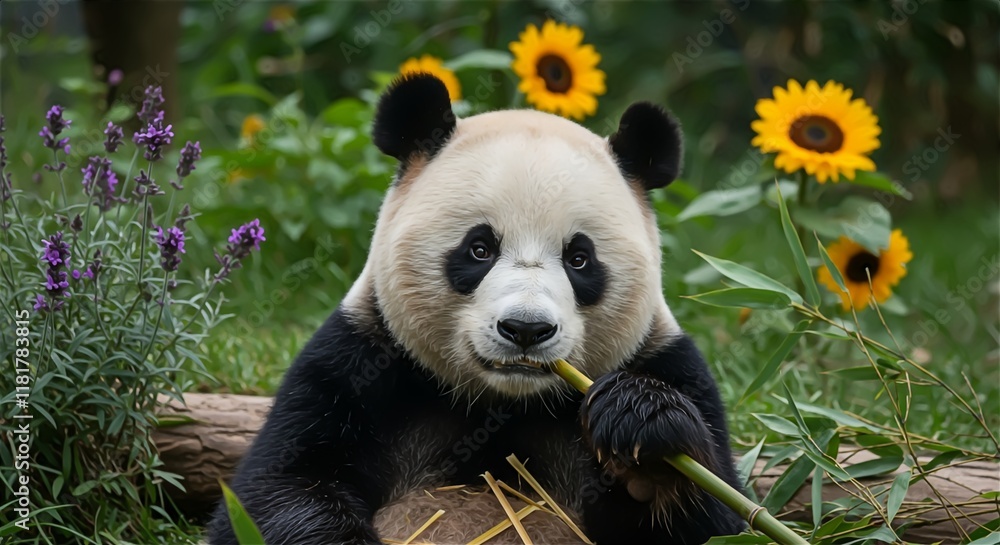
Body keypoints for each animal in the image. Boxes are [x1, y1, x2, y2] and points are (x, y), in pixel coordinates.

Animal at [208, 73, 746, 545]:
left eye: (579, 258)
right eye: (479, 249)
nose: (525, 329)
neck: (501, 403)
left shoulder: (670, 363)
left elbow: (719, 519)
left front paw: (643, 438)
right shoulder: (355, 365)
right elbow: (278, 492)